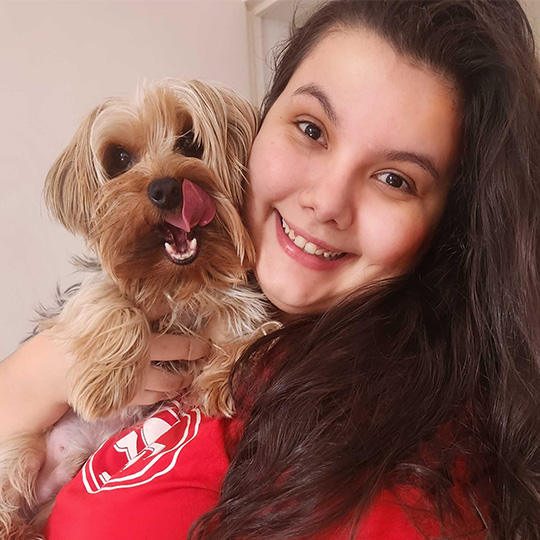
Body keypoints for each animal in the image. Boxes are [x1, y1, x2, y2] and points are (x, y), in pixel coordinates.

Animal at [0, 79, 275, 539]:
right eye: (119, 160)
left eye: (191, 142)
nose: (165, 189)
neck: (175, 281)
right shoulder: (91, 289)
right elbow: (110, 301)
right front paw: (106, 383)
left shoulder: (228, 293)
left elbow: (243, 322)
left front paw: (223, 377)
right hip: (20, 449)